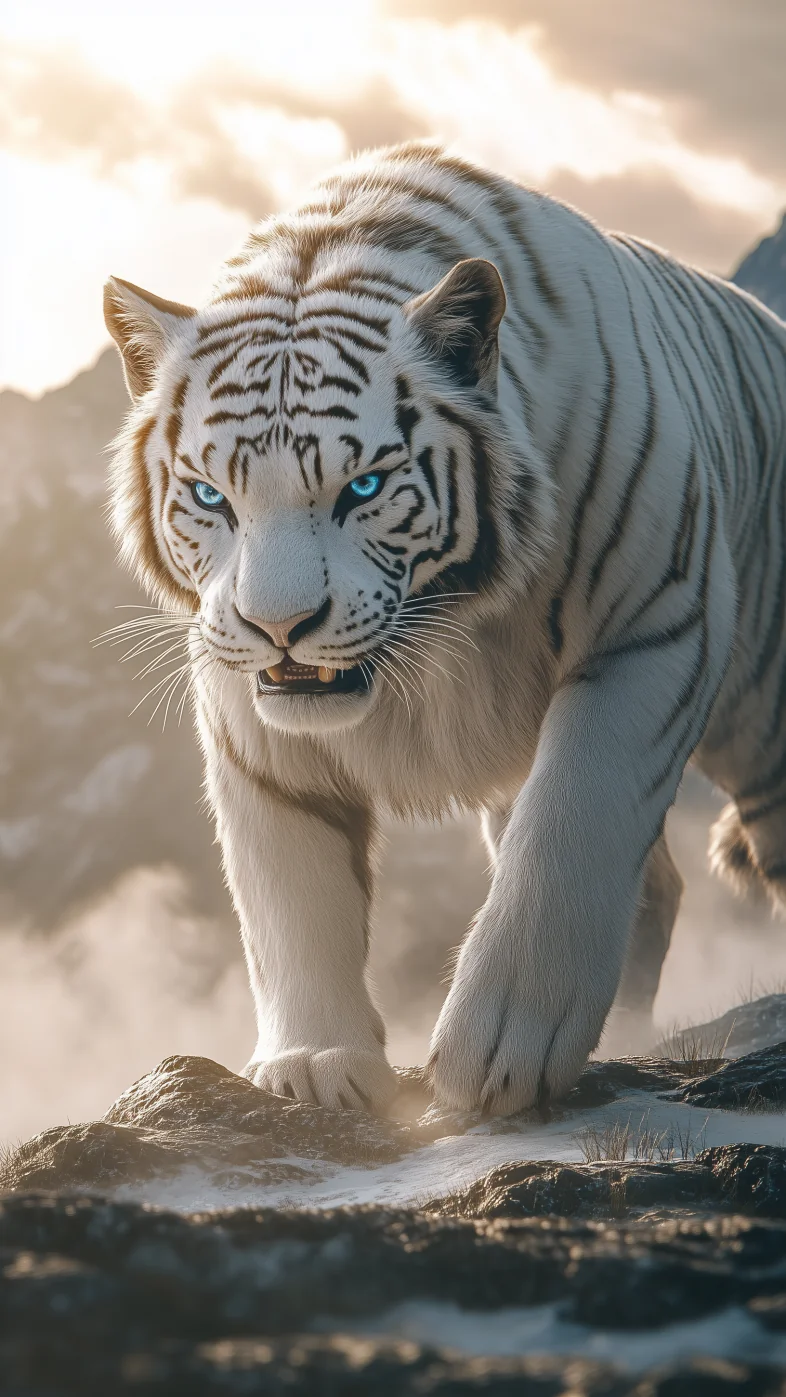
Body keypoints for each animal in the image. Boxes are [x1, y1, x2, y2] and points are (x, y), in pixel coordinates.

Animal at [103, 141, 786, 1117]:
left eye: (362, 488)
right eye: (209, 494)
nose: (279, 625)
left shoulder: (654, 624)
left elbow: (571, 824)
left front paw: (501, 1048)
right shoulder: (249, 721)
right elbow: (289, 893)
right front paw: (315, 1060)